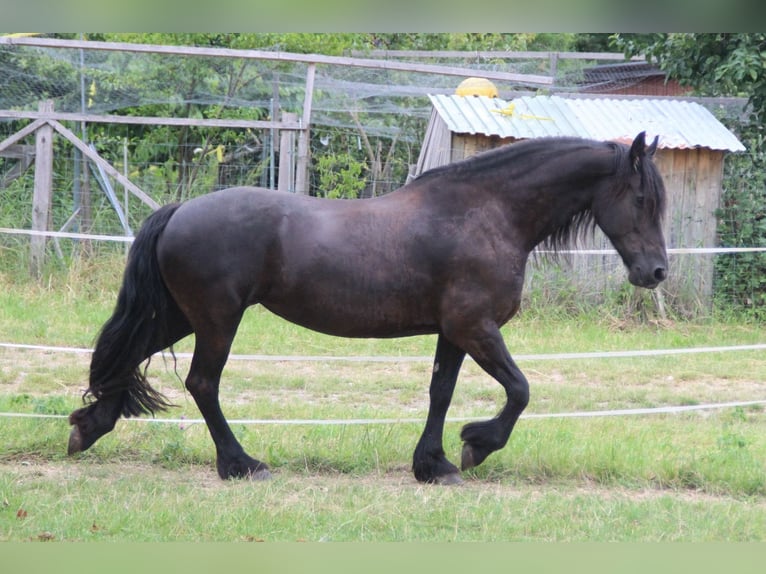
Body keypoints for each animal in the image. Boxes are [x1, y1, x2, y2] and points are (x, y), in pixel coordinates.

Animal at [69, 134, 668, 486]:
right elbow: (520, 390)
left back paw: (89, 426)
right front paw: (477, 446)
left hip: (178, 315)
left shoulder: (454, 333)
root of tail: (179, 211)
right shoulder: (476, 328)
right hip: (217, 320)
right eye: (643, 199)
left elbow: (440, 392)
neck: (486, 213)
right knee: (202, 384)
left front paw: (433, 465)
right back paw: (240, 464)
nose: (657, 272)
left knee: (127, 357)